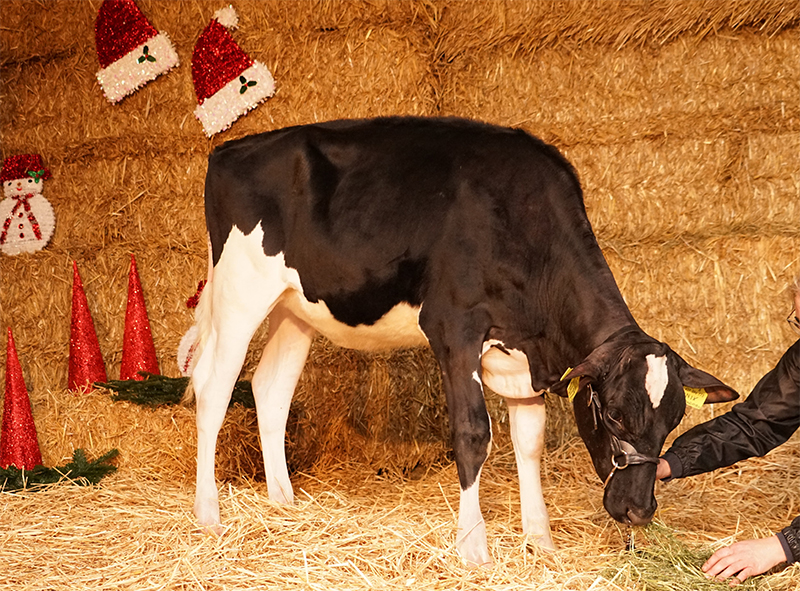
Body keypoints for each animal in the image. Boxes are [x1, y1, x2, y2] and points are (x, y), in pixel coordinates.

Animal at [186, 116, 738, 566]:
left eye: (673, 420)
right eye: (617, 415)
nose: (640, 511)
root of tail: (230, 150)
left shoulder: (524, 358)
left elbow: (529, 443)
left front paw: (540, 540)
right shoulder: (455, 329)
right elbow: (473, 434)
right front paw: (473, 546)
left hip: (294, 306)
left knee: (270, 389)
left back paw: (284, 503)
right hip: (239, 289)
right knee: (213, 386)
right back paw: (208, 515)